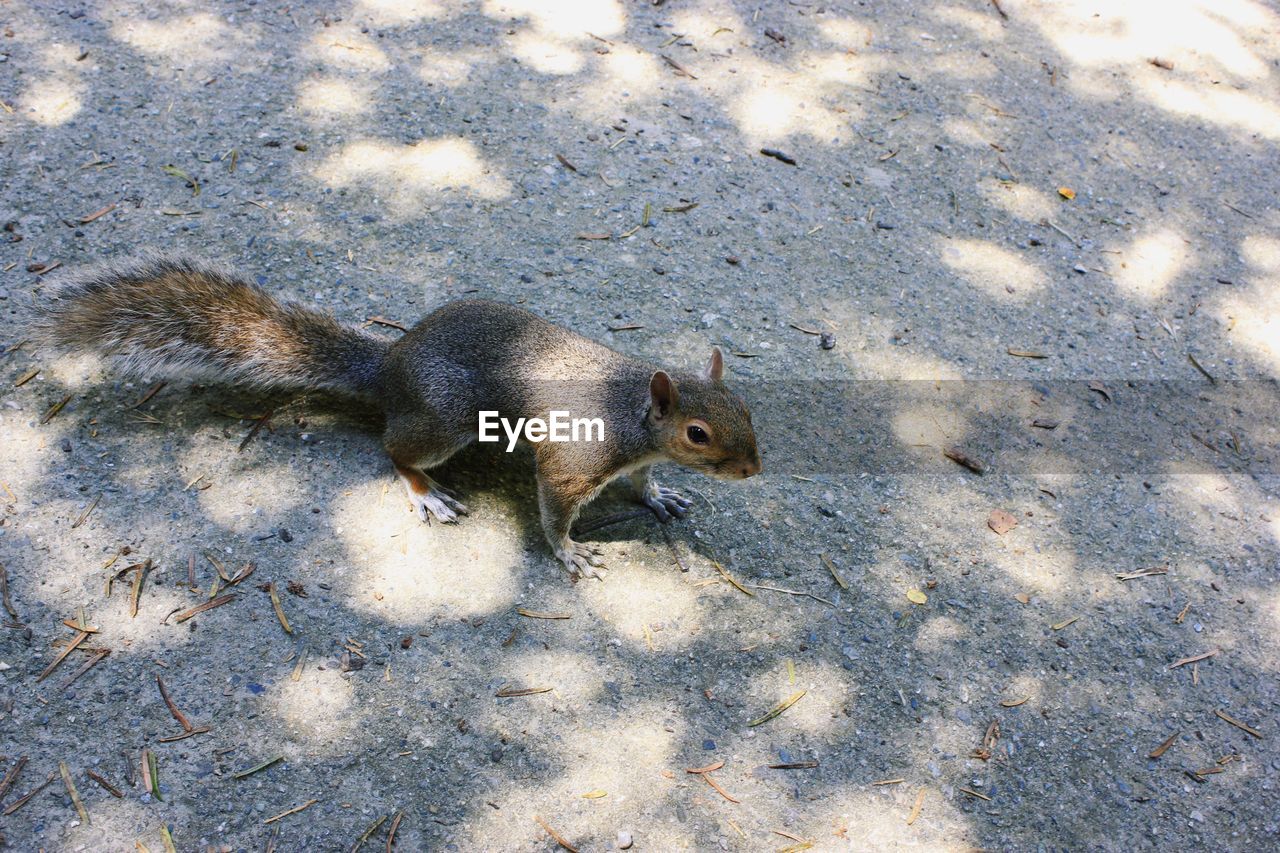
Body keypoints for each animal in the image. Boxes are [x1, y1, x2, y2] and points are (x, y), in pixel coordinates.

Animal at [35, 252, 757, 578]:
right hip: (446, 418)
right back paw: (426, 490)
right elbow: (553, 510)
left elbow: (644, 481)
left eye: (744, 407)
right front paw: (571, 552)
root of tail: (390, 367)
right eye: (697, 433)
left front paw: (661, 497)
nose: (752, 470)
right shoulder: (574, 461)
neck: (633, 414)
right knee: (394, 451)